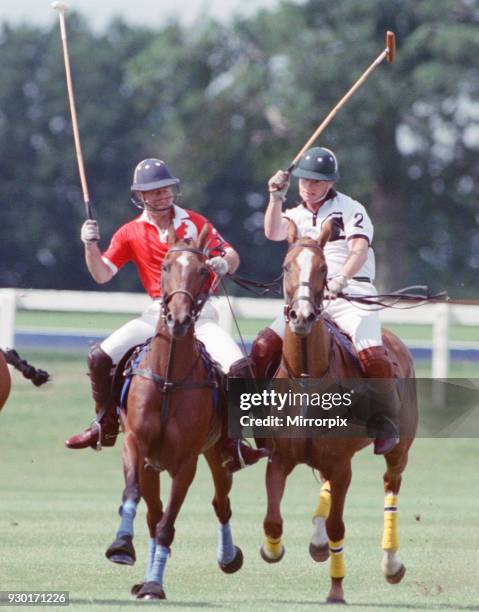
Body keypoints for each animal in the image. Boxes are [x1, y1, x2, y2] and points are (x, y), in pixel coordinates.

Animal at [103, 224, 242, 596]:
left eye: (205, 271)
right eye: (165, 267)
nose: (178, 319)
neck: (169, 379)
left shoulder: (186, 462)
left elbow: (169, 525)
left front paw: (154, 584)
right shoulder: (136, 445)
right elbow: (134, 497)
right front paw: (122, 546)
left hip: (217, 453)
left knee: (221, 504)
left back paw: (229, 557)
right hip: (152, 465)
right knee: (153, 514)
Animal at [260, 221, 418, 604]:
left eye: (322, 269)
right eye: (286, 267)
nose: (301, 316)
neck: (307, 376)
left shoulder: (342, 463)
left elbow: (337, 526)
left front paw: (336, 590)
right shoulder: (280, 458)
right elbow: (273, 519)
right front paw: (273, 549)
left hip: (399, 448)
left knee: (391, 485)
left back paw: (391, 563)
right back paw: (317, 542)